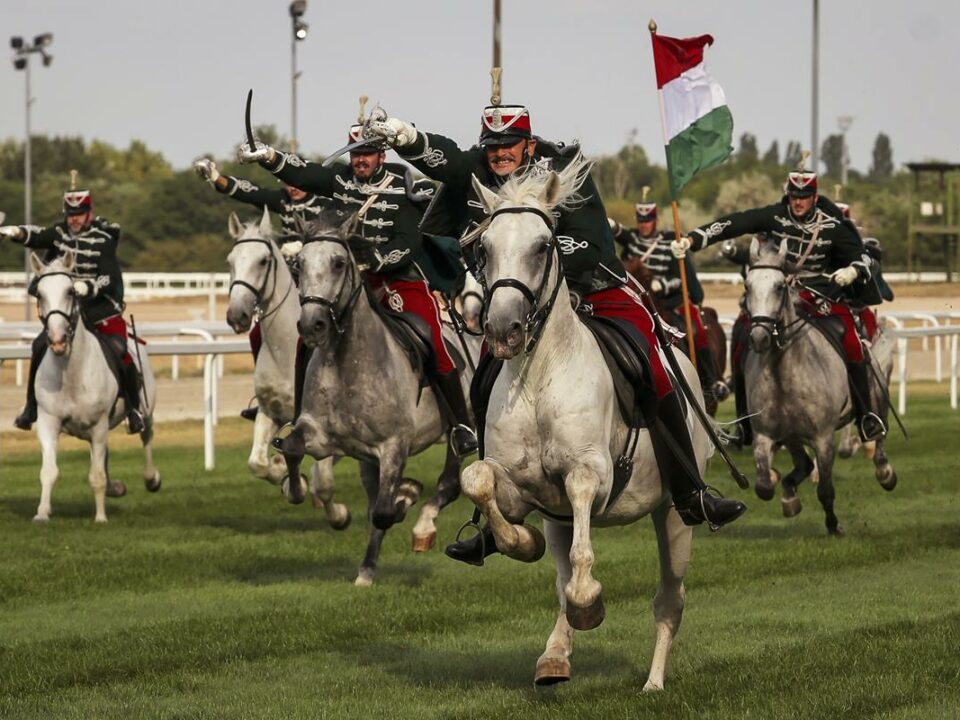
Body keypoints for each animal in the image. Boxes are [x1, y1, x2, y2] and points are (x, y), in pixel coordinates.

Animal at [28, 253, 159, 524]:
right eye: (40, 294)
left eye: (70, 291)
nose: (57, 340)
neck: (70, 374)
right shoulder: (48, 423)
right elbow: (49, 471)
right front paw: (42, 513)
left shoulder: (98, 425)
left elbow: (96, 476)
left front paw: (100, 517)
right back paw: (114, 487)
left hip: (146, 410)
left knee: (147, 436)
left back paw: (151, 479)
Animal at [225, 210, 348, 528]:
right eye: (230, 261)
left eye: (263, 261)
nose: (237, 315)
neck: (286, 350)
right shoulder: (269, 412)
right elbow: (257, 464)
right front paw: (284, 474)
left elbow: (324, 482)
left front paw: (339, 514)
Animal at [274, 208, 476, 584]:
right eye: (300, 264)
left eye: (339, 263)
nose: (312, 326)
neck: (349, 363)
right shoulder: (321, 436)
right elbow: (293, 449)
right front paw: (293, 488)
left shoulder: (394, 447)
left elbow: (384, 511)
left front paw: (407, 495)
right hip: (367, 461)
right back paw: (367, 569)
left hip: (459, 432)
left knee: (449, 483)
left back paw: (423, 525)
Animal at [462, 158, 708, 692]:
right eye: (484, 248)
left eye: (542, 246)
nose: (502, 330)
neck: (538, 379)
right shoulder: (524, 490)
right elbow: (479, 479)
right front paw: (520, 542)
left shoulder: (591, 474)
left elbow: (580, 521)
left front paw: (589, 602)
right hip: (561, 520)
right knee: (560, 573)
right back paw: (554, 656)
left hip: (675, 515)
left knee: (669, 600)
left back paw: (653, 683)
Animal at [748, 238, 896, 536]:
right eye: (748, 286)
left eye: (779, 286)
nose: (759, 337)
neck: (785, 372)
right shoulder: (765, 435)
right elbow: (764, 486)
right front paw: (789, 498)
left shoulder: (823, 439)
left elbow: (826, 490)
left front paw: (834, 526)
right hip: (791, 435)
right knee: (802, 463)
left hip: (877, 400)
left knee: (879, 438)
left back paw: (885, 473)